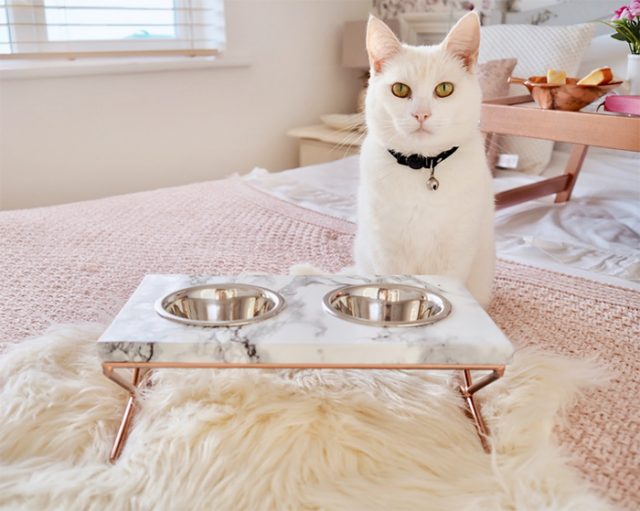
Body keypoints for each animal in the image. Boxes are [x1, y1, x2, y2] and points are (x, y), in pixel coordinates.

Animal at [356, 13, 496, 308]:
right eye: (399, 89)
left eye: (444, 89)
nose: (421, 114)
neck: (421, 166)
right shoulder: (386, 249)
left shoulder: (455, 249)